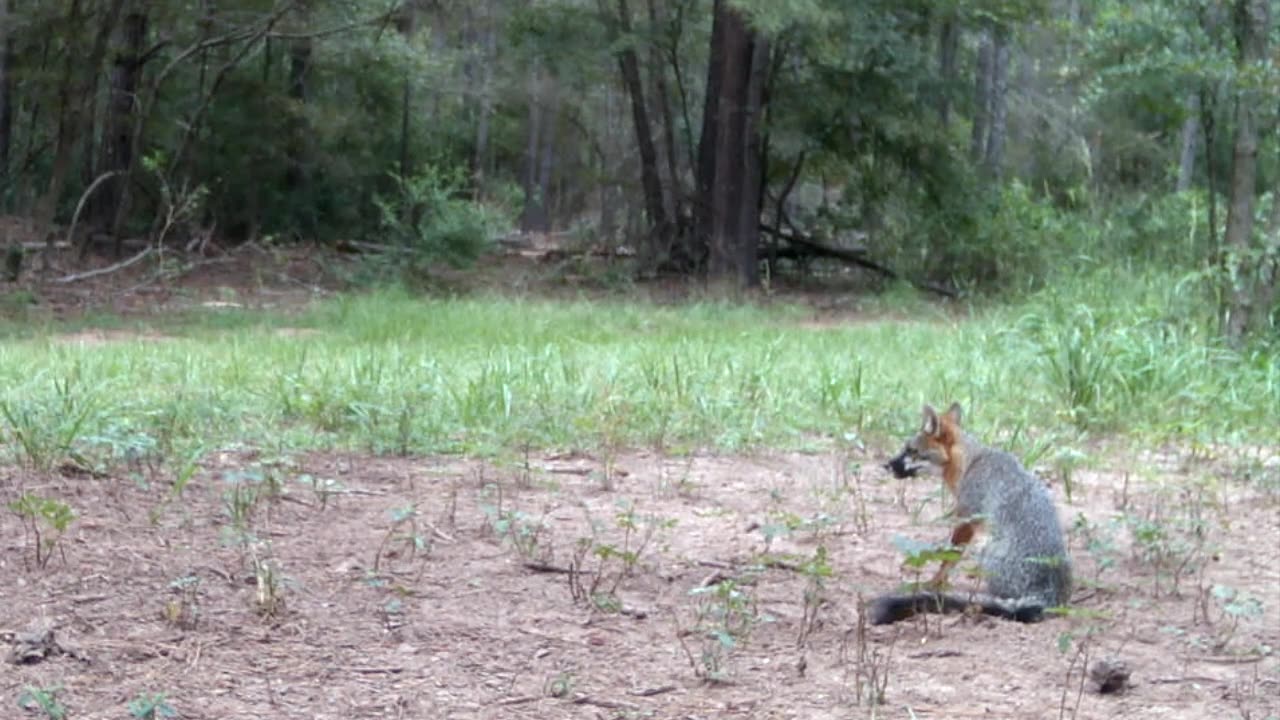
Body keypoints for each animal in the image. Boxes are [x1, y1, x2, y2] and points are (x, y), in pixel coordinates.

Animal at [875, 399, 1075, 625]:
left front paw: (933, 583)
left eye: (911, 450)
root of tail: (1048, 595)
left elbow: (948, 557)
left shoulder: (967, 519)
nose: (886, 465)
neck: (970, 462)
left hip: (984, 547)